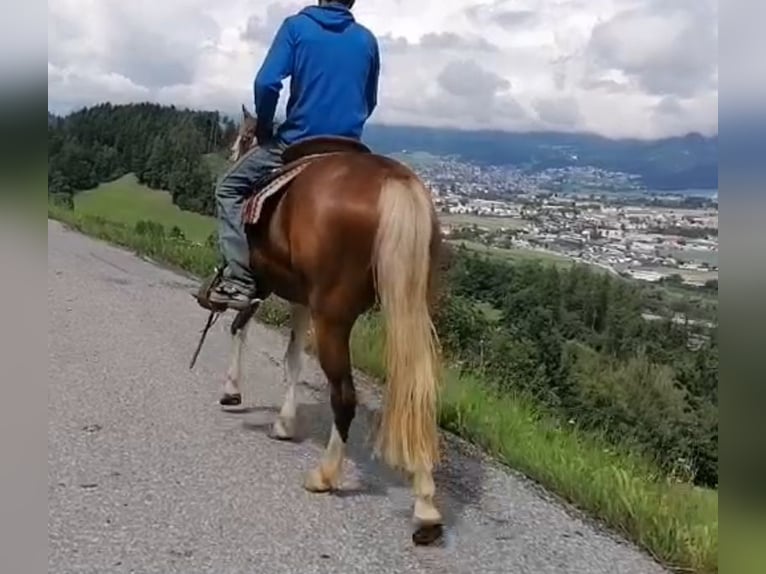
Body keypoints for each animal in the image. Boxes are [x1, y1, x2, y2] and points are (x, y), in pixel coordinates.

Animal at [199, 105, 446, 545]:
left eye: (243, 137)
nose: (231, 155)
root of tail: (395, 182)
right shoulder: (301, 297)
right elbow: (293, 358)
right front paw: (284, 422)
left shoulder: (262, 284)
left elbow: (240, 325)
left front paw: (231, 391)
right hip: (410, 308)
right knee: (418, 390)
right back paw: (426, 507)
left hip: (332, 315)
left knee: (344, 395)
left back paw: (326, 475)